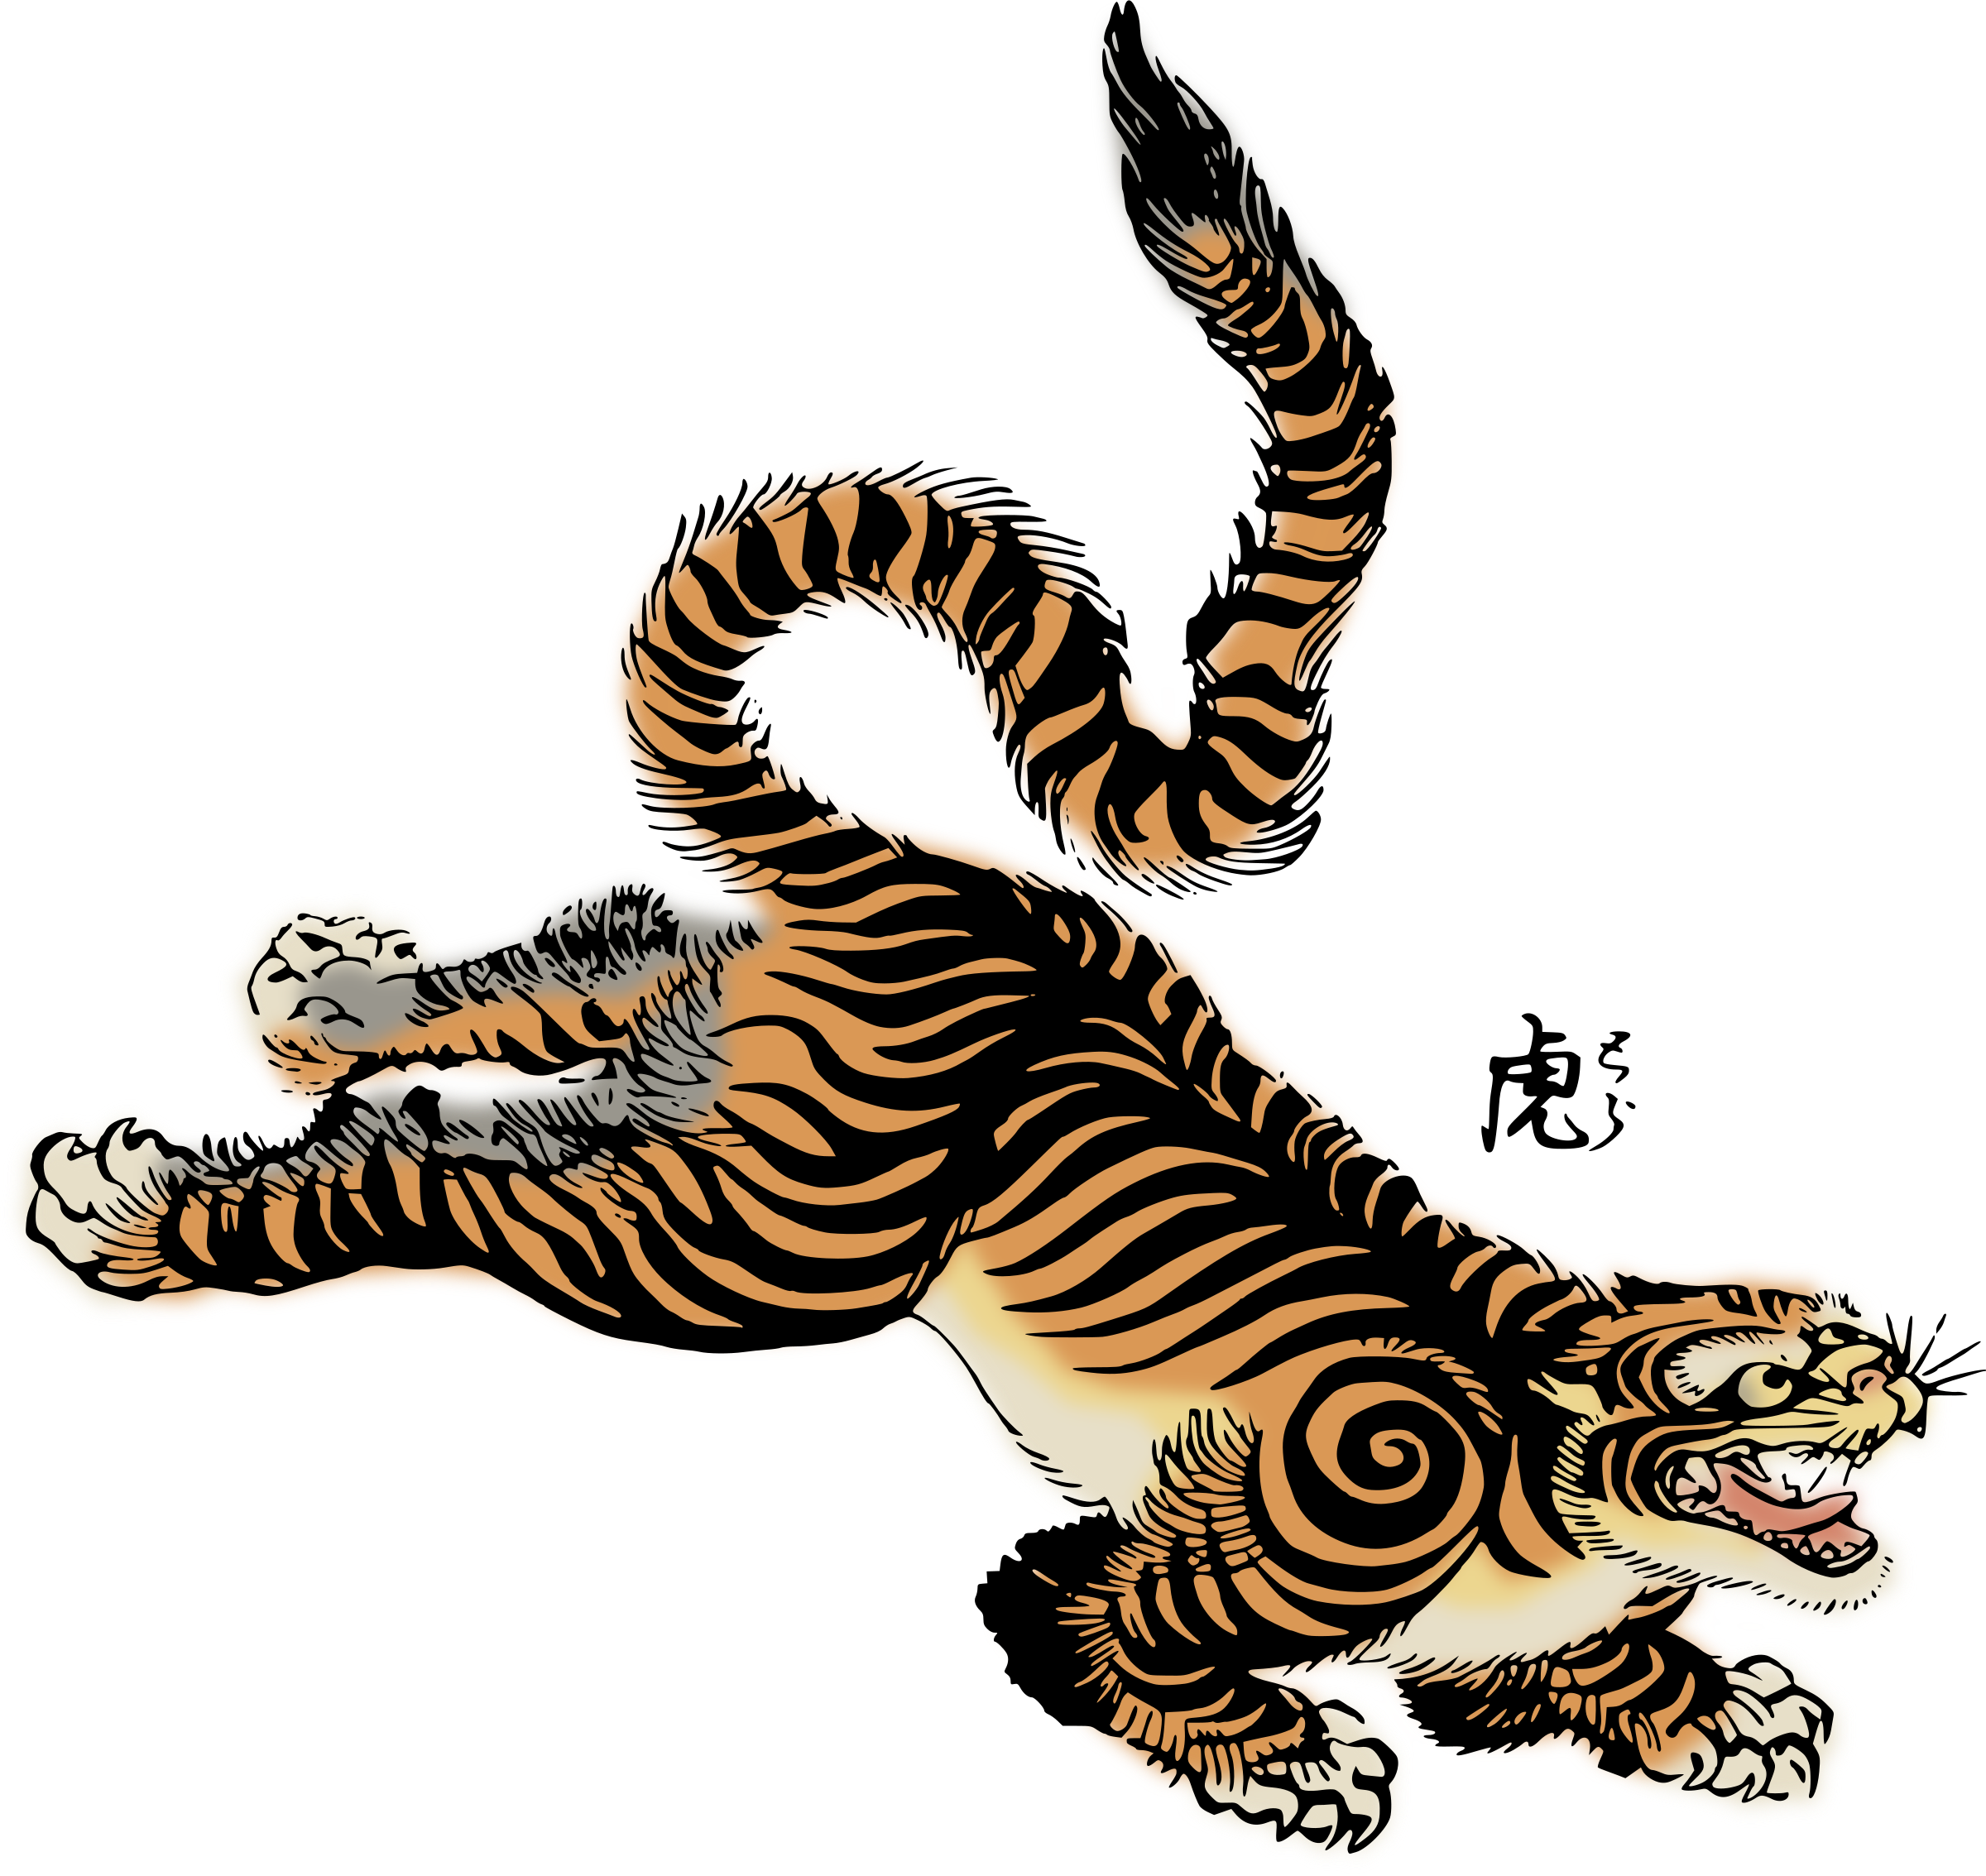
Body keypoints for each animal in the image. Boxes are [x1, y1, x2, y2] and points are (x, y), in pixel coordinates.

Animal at [1, 8, 1950, 1869]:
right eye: (1791, 1370)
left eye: (1877, 1334)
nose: (1923, 1381)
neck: (1554, 1471)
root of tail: (910, 866)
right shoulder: (1246, 1526)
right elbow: (1122, 1651)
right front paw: (1294, 1769)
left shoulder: (1505, 1645)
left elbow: (1585, 1672)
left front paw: (1733, 1710)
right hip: (785, 1240)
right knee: (435, 1163)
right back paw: (126, 1204)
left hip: (692, 1037)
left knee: (551, 978)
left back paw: (308, 980)